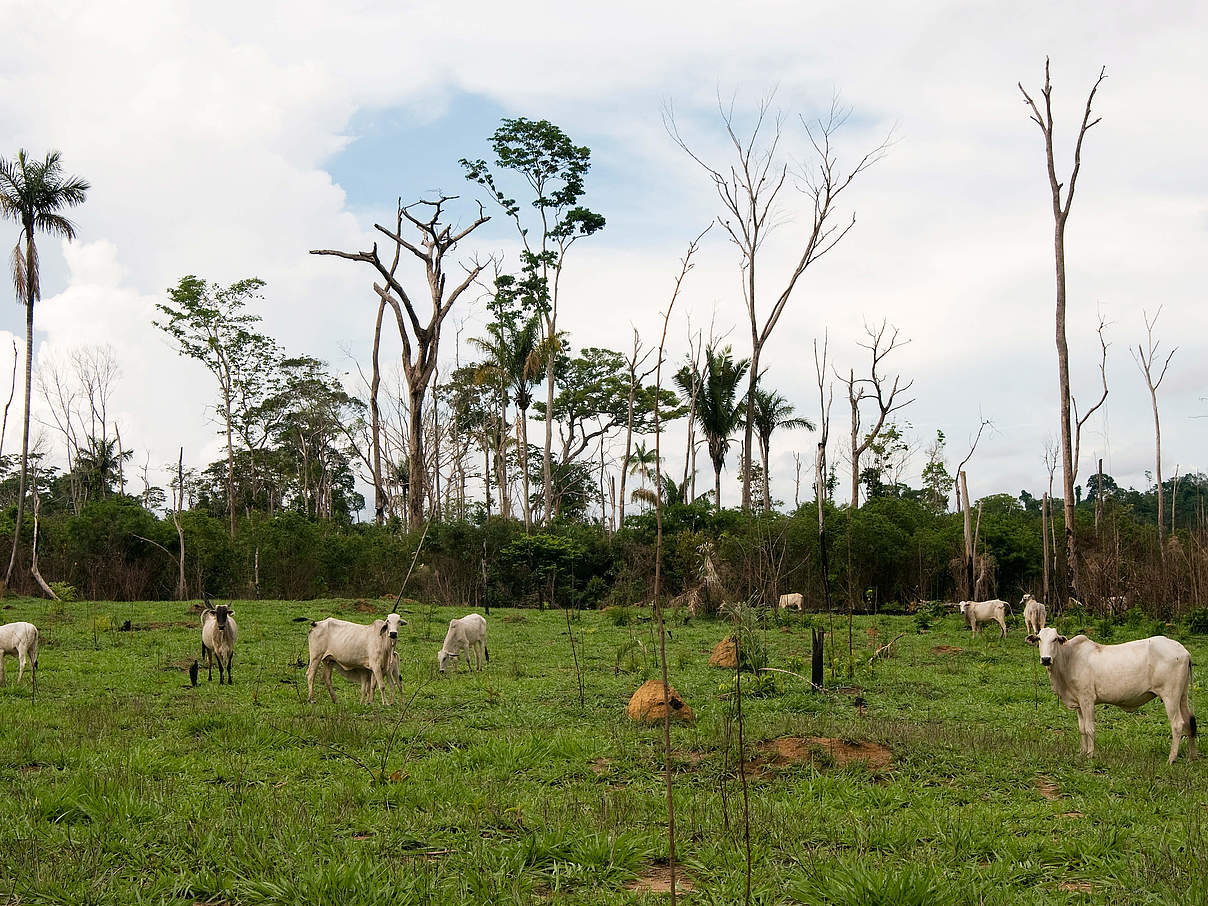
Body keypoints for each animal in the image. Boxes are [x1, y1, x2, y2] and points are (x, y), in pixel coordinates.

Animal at [1024, 623, 1193, 768]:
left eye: (1055, 639)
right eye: (1039, 639)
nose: (1046, 659)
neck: (1069, 659)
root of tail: (1184, 651)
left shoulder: (1087, 699)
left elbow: (1089, 728)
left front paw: (1090, 755)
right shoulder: (1079, 703)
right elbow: (1082, 729)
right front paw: (1082, 752)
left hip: (1170, 696)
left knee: (1177, 724)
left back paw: (1171, 759)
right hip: (1182, 696)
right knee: (1189, 722)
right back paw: (1192, 757)